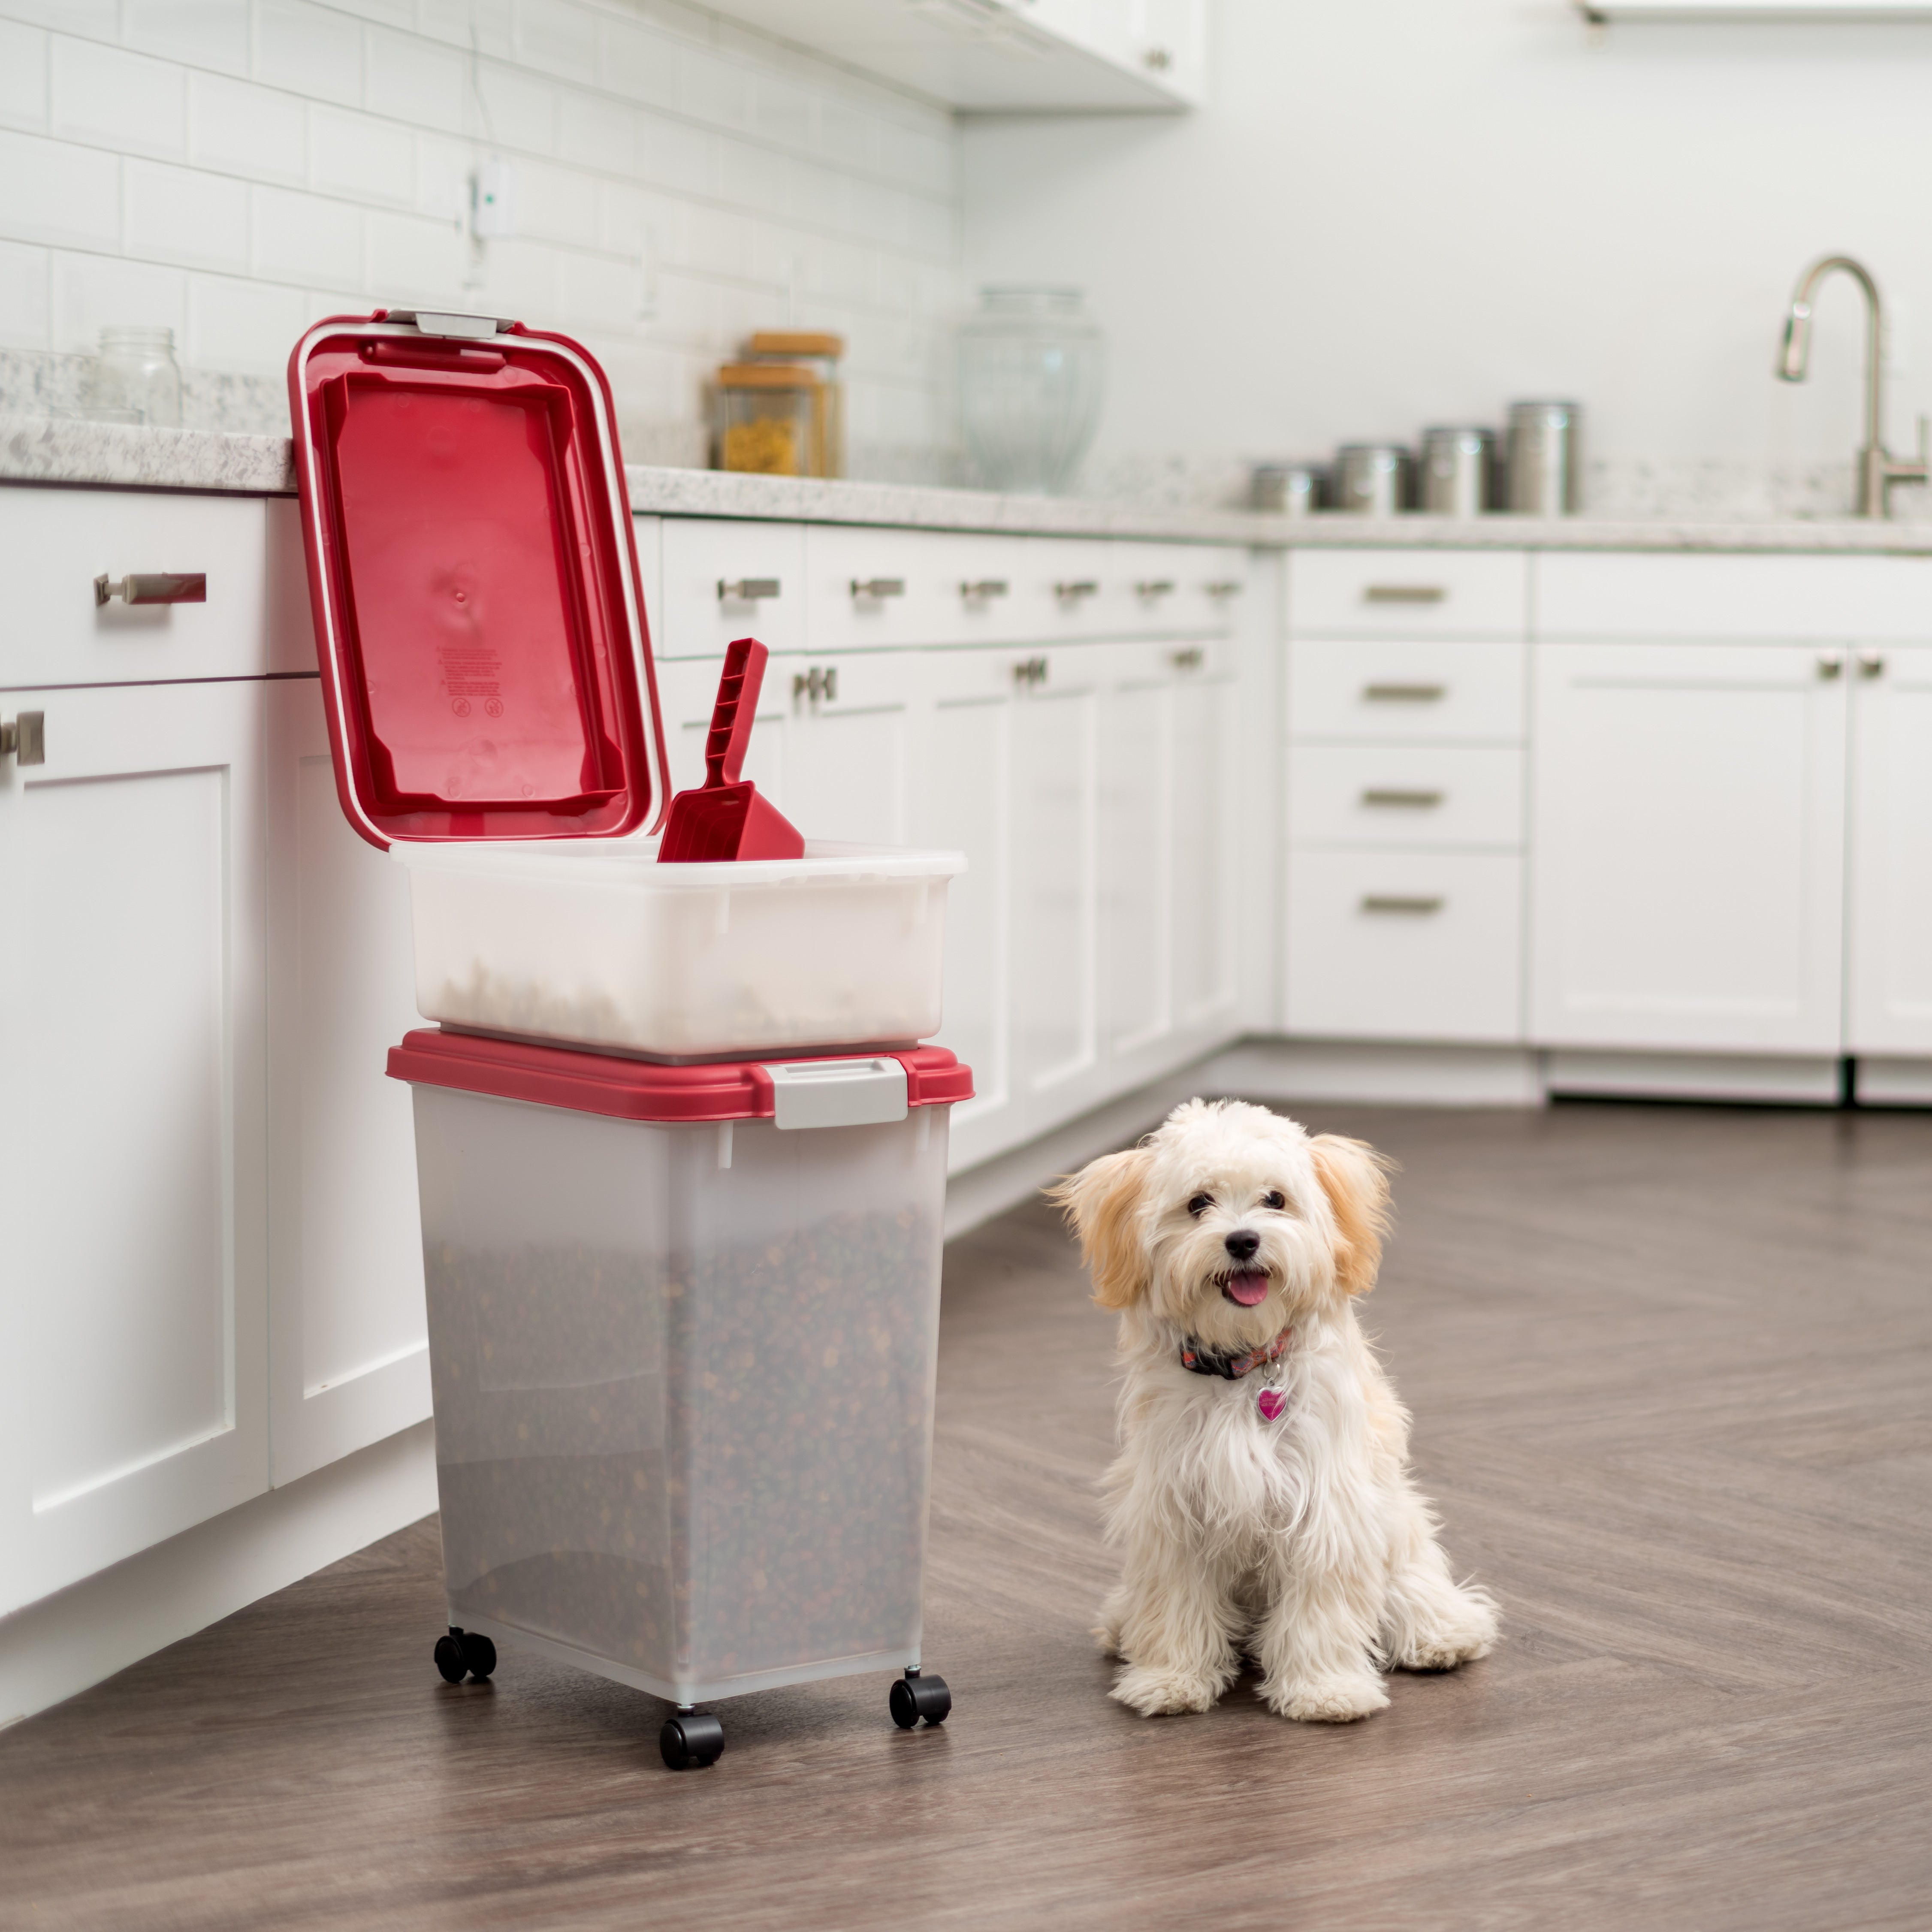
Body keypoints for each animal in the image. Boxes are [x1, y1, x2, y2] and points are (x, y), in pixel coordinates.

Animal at [1059, 1105, 1491, 1723]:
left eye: (1275, 1199)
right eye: (1198, 1203)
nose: (1243, 1240)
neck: (1246, 1364)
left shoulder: (1326, 1506)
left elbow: (1321, 1610)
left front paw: (1325, 1690)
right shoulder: (1174, 1509)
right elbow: (1175, 1603)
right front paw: (1171, 1679)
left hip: (1398, 1526)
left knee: (1415, 1583)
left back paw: (1442, 1633)